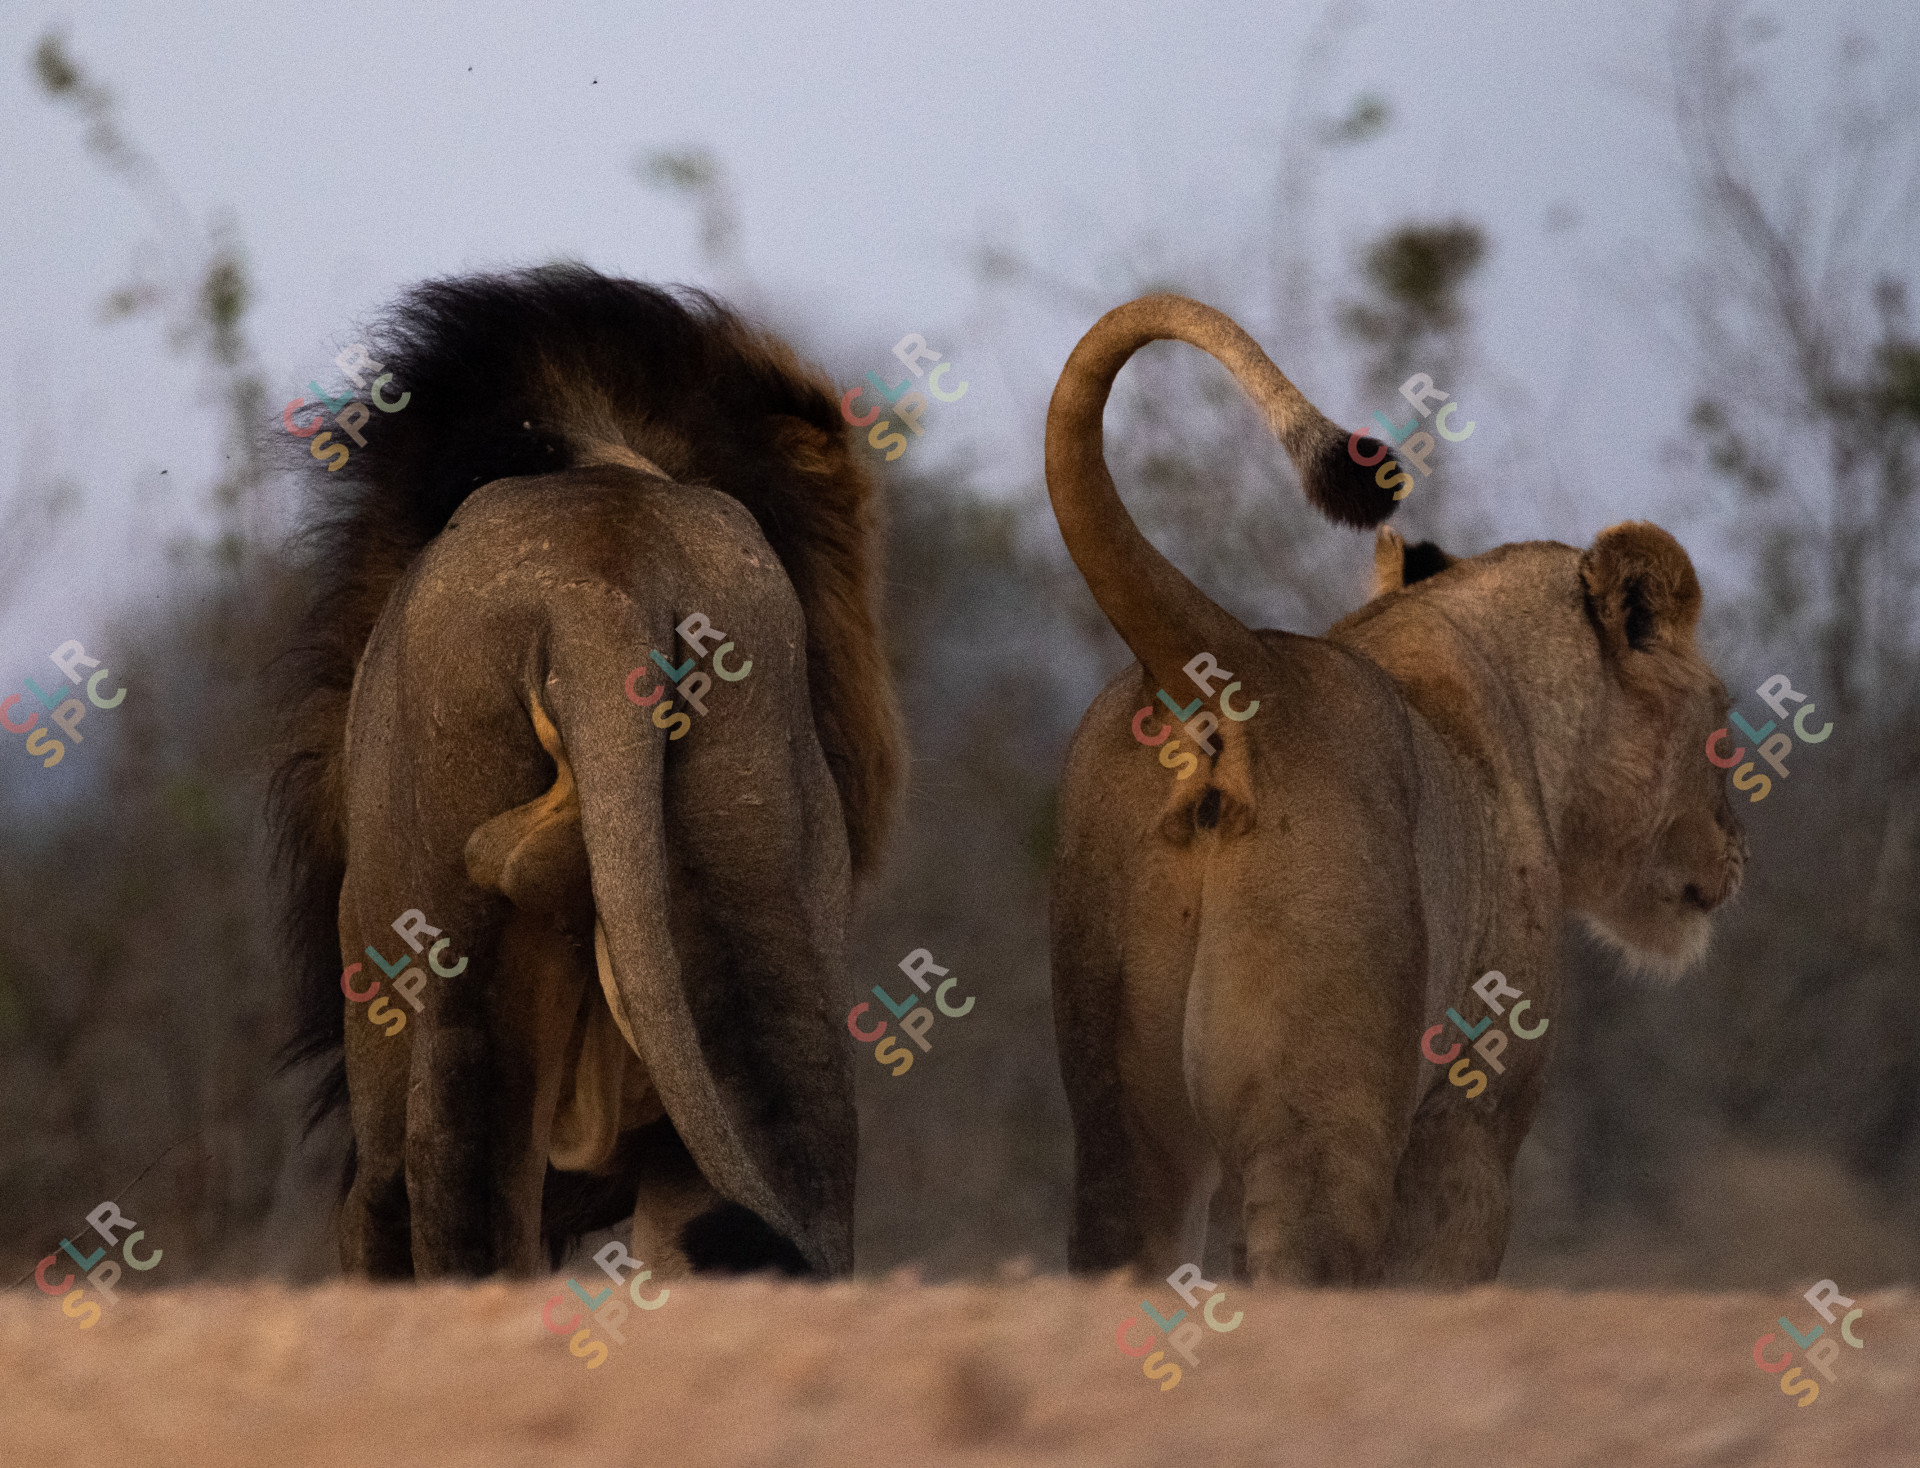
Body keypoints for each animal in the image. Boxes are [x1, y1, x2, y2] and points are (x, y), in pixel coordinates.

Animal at [1044, 294, 1747, 1285]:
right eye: (1726, 715)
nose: (1738, 846)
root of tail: (1235, 661)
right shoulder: (1469, 1121)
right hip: (1323, 1120)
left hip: (1123, 1122)